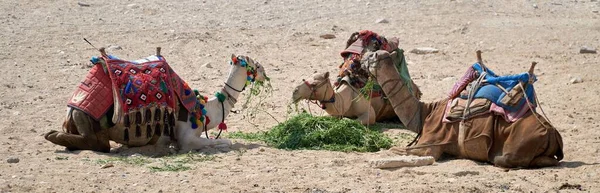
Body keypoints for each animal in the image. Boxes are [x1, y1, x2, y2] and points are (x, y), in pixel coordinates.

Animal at [48, 47, 268, 153]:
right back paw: (52, 136)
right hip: (91, 120)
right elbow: (224, 141)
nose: (265, 74)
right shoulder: (187, 137)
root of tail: (71, 109)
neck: (206, 109)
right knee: (97, 143)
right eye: (255, 64)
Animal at [360, 49, 564, 167]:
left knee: (503, 159)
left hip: (517, 145)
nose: (361, 59)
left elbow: (395, 150)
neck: (424, 113)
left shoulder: (431, 143)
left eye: (371, 56)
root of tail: (552, 132)